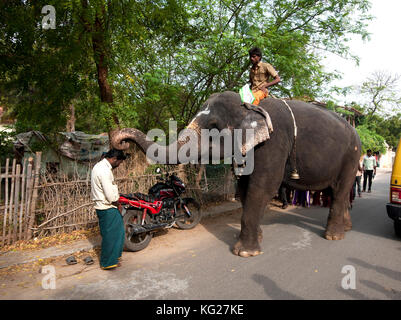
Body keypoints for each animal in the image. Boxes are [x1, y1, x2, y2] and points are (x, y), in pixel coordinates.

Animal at [111, 90, 360, 258]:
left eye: (213, 126)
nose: (122, 144)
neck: (248, 106)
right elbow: (244, 189)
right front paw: (257, 239)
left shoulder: (273, 143)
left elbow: (262, 188)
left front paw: (245, 253)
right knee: (338, 191)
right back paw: (346, 228)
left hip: (352, 155)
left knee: (340, 191)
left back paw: (334, 236)